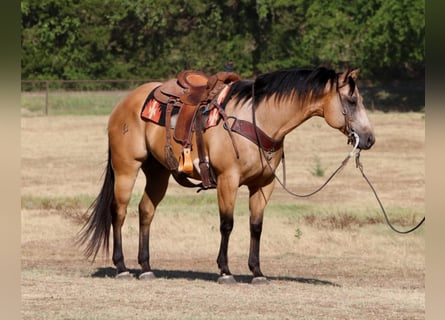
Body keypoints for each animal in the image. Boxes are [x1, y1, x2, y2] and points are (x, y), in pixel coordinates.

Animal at [78, 66, 372, 284]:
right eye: (352, 100)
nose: (369, 139)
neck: (257, 119)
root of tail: (124, 104)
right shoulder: (227, 180)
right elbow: (227, 224)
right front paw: (225, 271)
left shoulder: (264, 184)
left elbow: (256, 226)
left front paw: (257, 272)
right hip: (126, 167)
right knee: (119, 212)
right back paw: (122, 267)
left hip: (157, 171)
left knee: (146, 211)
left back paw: (147, 267)